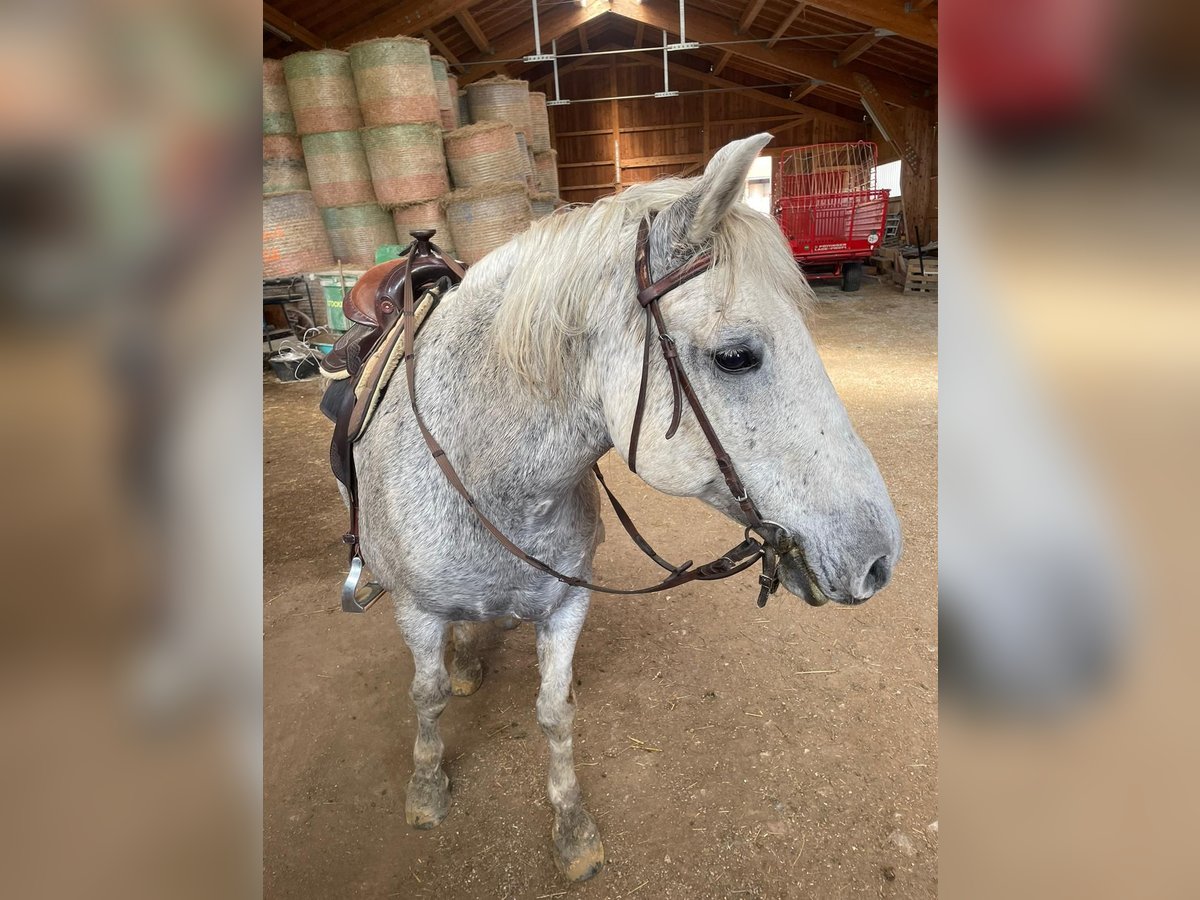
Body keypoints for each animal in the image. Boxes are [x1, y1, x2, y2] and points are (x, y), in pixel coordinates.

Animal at [350, 133, 897, 883]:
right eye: (735, 357)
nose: (879, 558)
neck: (484, 473)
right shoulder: (415, 610)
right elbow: (425, 698)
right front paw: (427, 789)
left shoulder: (565, 604)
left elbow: (555, 714)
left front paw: (572, 830)